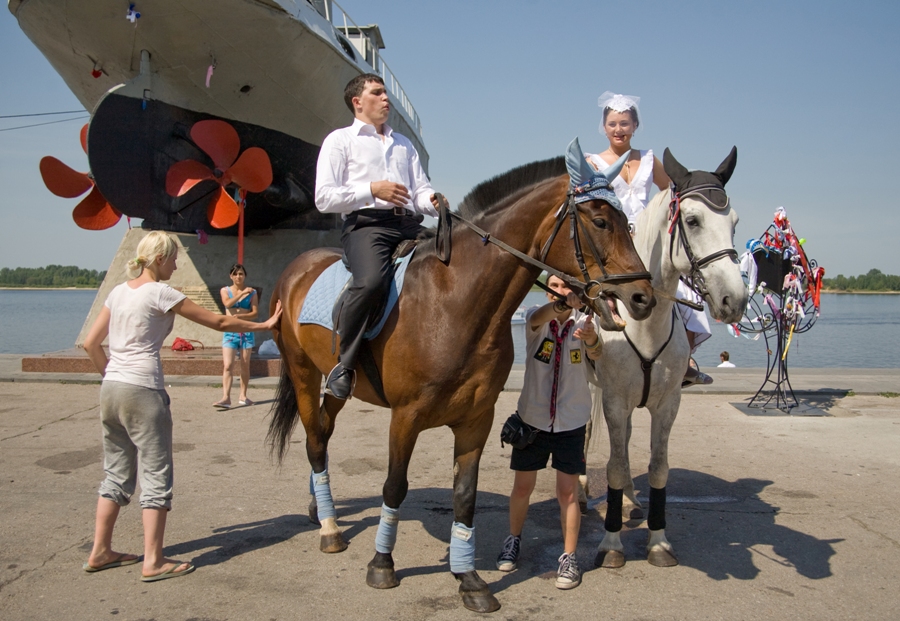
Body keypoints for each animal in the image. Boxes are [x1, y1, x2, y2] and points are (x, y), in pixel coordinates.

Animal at [266, 139, 655, 613]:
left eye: (626, 224)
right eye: (600, 221)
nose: (643, 297)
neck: (455, 301)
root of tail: (299, 265)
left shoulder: (476, 420)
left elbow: (464, 497)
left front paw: (469, 579)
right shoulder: (405, 417)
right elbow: (394, 487)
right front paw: (382, 565)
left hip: (339, 381)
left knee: (321, 432)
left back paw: (319, 510)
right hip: (303, 372)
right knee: (314, 440)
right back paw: (329, 528)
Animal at [587, 147, 749, 569]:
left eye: (735, 223)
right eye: (692, 220)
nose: (735, 300)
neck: (645, 321)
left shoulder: (667, 404)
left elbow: (658, 469)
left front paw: (658, 541)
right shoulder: (614, 401)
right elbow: (613, 466)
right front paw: (611, 544)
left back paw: (631, 500)